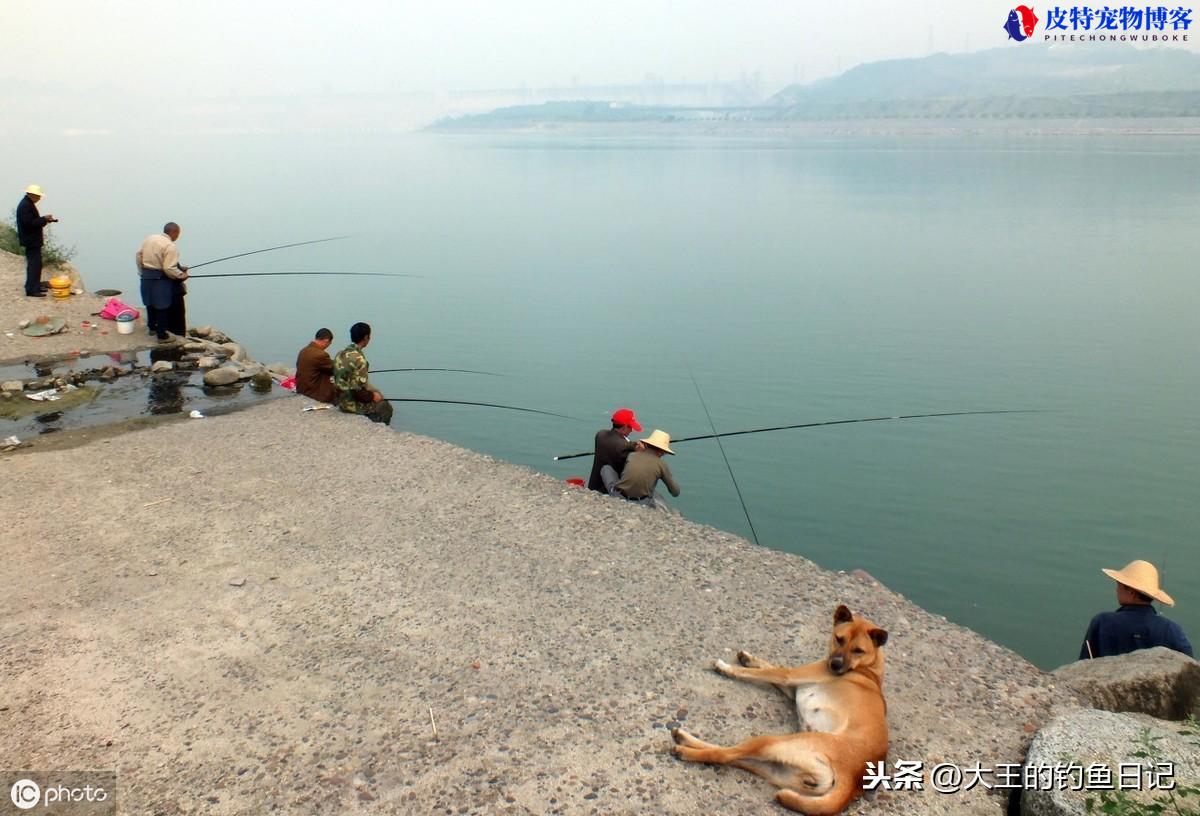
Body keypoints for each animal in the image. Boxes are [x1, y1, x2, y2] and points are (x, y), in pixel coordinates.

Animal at [672, 602, 888, 811]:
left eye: (858, 650)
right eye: (839, 639)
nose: (835, 665)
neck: (867, 669)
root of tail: (853, 779)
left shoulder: (788, 675)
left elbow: (761, 672)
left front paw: (726, 667)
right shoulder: (791, 687)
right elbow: (768, 666)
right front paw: (748, 658)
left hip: (773, 742)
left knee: (724, 754)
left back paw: (683, 746)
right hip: (778, 767)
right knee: (732, 757)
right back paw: (684, 740)